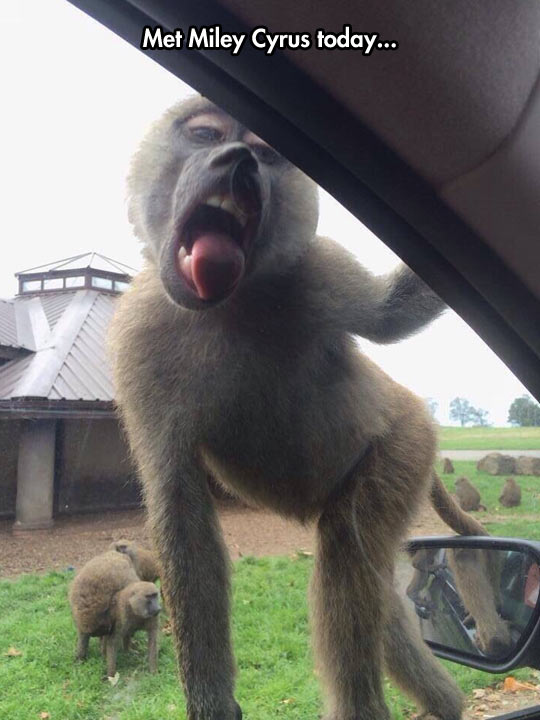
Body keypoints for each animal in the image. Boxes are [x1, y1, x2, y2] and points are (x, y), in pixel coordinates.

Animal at [109, 96, 483, 720]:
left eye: (263, 153)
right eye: (207, 134)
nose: (239, 161)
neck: (228, 304)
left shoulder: (319, 269)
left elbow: (389, 314)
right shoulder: (139, 341)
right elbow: (180, 508)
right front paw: (213, 702)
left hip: (404, 442)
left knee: (347, 558)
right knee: (374, 592)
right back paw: (446, 702)